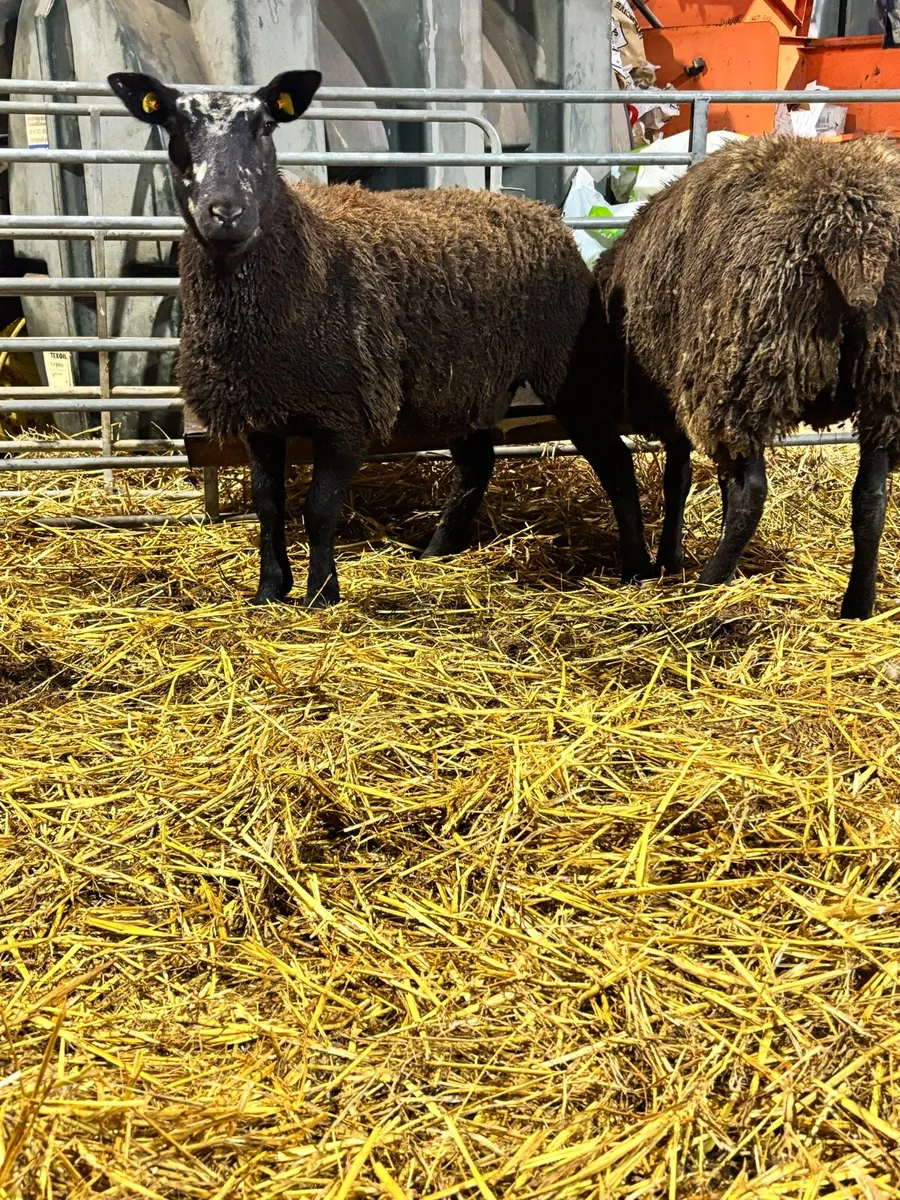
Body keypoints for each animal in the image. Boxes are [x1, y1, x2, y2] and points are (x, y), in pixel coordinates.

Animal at [109, 69, 654, 606]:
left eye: (266, 126)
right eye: (174, 125)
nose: (226, 212)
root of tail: (543, 214)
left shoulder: (348, 412)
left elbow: (318, 509)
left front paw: (321, 594)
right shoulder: (261, 412)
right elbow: (269, 506)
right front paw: (269, 591)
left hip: (568, 368)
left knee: (615, 463)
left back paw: (637, 568)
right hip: (461, 384)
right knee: (476, 464)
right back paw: (437, 552)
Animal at [595, 134, 900, 618]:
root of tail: (857, 238)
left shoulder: (678, 400)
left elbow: (679, 479)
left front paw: (670, 559)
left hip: (746, 370)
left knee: (753, 494)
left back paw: (708, 585)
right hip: (883, 380)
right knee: (871, 498)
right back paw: (858, 605)